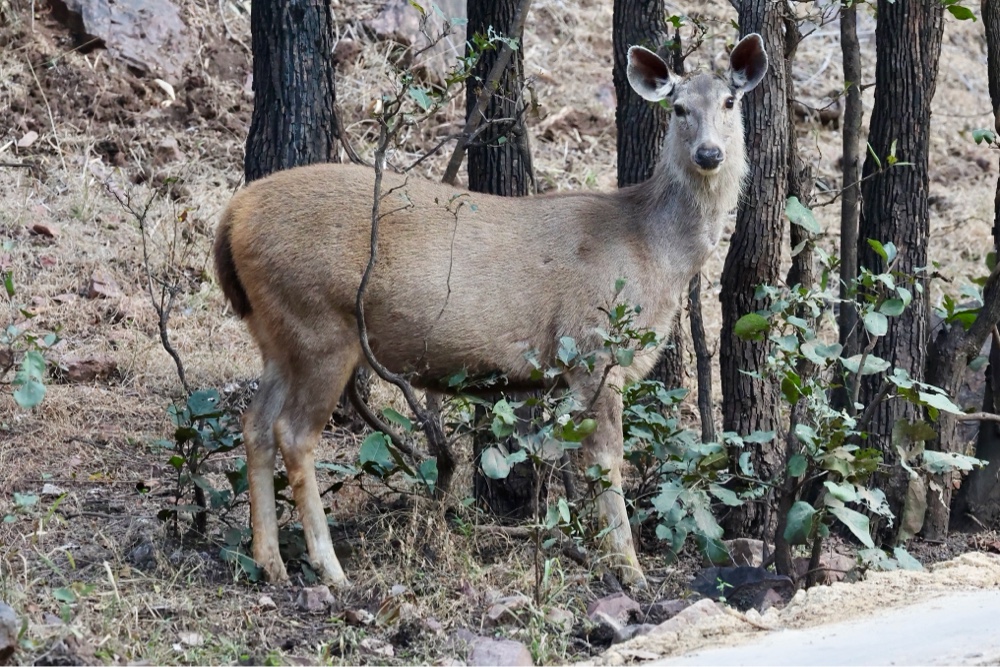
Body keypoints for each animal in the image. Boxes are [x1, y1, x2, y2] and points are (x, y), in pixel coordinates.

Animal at [213, 33, 768, 589]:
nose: (709, 153)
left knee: (255, 423)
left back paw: (270, 562)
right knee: (293, 433)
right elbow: (607, 459)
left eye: (730, 101)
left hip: (276, 332)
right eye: (678, 108)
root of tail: (233, 216)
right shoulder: (592, 348)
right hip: (319, 325)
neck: (653, 252)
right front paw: (627, 567)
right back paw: (329, 568)